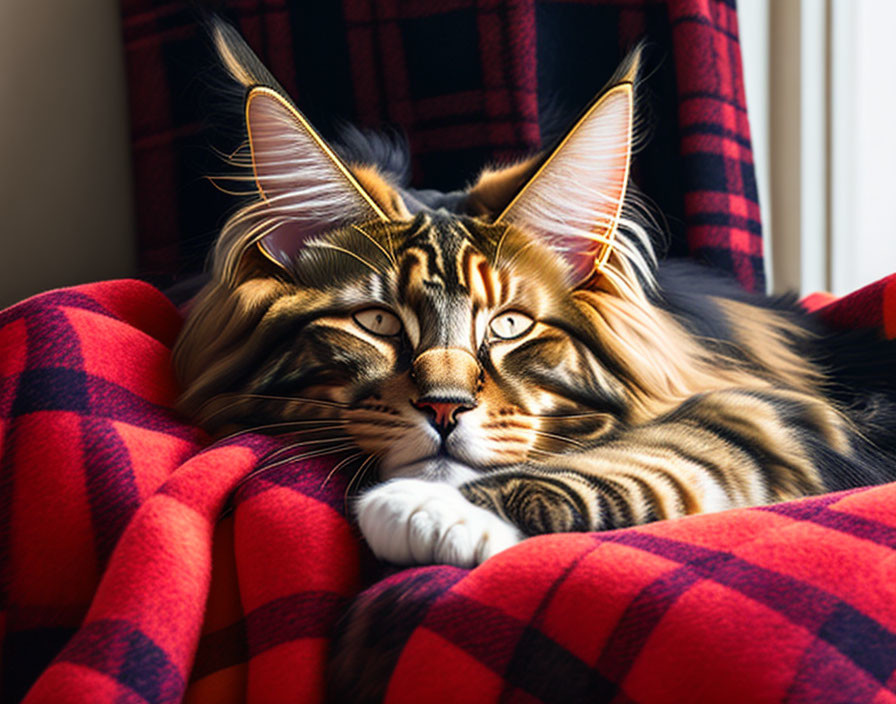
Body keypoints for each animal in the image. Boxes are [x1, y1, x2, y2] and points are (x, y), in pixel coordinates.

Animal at [173, 23, 896, 572]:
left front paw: (431, 508)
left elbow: (666, 449)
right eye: (376, 322)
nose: (444, 408)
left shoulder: (786, 412)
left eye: (510, 326)